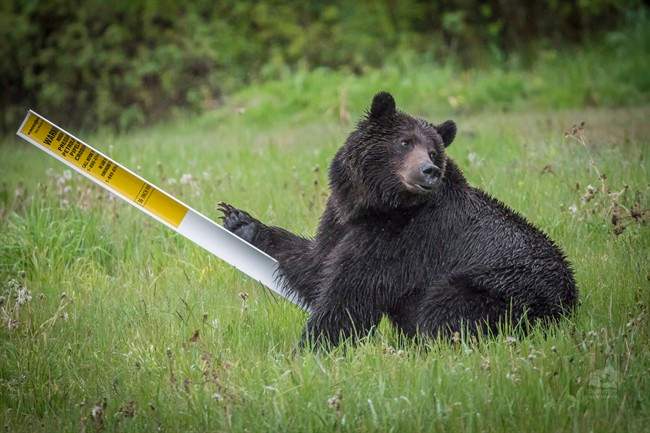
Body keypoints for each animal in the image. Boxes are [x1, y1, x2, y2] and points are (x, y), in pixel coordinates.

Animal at [218, 91, 577, 347]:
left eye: (433, 152)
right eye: (404, 142)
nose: (428, 171)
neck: (374, 205)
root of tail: (569, 305)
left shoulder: (405, 237)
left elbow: (351, 294)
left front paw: (308, 350)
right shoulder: (341, 220)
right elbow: (317, 264)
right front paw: (241, 221)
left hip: (499, 289)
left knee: (445, 309)